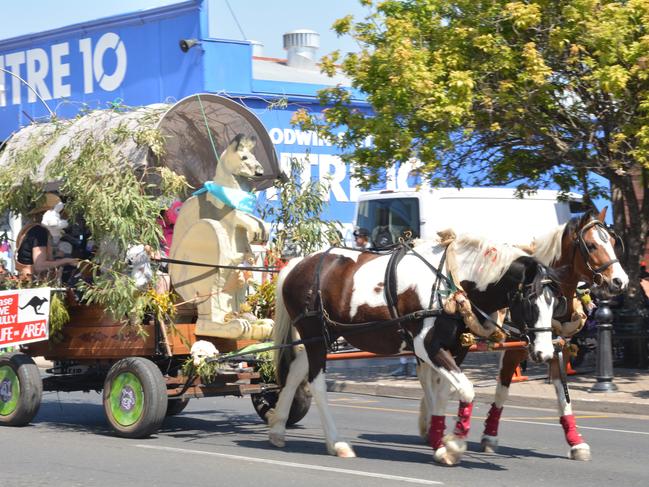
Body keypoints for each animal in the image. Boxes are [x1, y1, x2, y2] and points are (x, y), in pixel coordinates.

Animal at [266, 233, 564, 466]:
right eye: (530, 301)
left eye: (554, 302)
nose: (545, 353)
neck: (452, 282)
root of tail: (296, 263)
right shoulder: (426, 345)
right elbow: (466, 389)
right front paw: (454, 445)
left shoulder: (456, 349)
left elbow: (446, 392)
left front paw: (440, 440)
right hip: (315, 335)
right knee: (316, 383)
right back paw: (336, 443)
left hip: (322, 337)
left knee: (295, 372)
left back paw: (278, 429)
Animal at [416, 208, 628, 464]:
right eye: (592, 245)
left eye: (614, 242)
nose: (620, 281)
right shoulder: (515, 349)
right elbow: (502, 389)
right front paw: (489, 436)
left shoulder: (558, 348)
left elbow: (563, 396)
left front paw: (575, 441)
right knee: (427, 377)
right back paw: (430, 424)